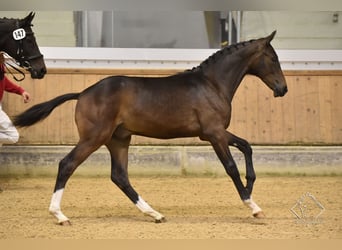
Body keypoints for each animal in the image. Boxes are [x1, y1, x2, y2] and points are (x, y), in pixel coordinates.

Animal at [13, 30, 288, 225]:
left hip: (118, 140)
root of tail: (83, 93)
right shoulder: (214, 134)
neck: (211, 84)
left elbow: (247, 146)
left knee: (119, 176)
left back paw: (155, 214)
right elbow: (230, 167)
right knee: (67, 165)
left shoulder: (212, 133)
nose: (282, 89)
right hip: (94, 138)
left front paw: (250, 188)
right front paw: (252, 206)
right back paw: (60, 215)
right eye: (273, 59)